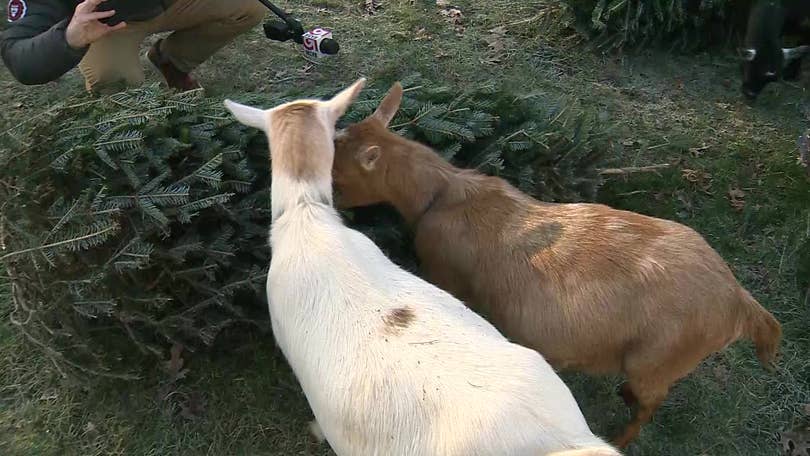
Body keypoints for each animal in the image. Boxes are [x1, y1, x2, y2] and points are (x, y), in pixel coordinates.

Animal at [332, 82, 780, 448]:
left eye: (339, 178)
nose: (331, 203)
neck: (444, 194)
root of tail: (740, 303)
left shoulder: (446, 272)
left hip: (654, 358)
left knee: (652, 401)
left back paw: (622, 434)